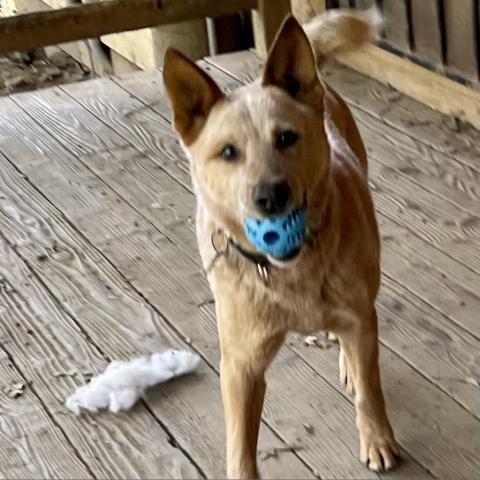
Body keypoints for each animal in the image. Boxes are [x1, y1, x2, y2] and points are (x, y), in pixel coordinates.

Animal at [163, 8, 400, 480]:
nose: (270, 196)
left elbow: (370, 388)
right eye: (228, 152)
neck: (293, 272)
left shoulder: (360, 318)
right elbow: (241, 443)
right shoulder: (241, 365)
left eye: (287, 137)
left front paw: (377, 439)